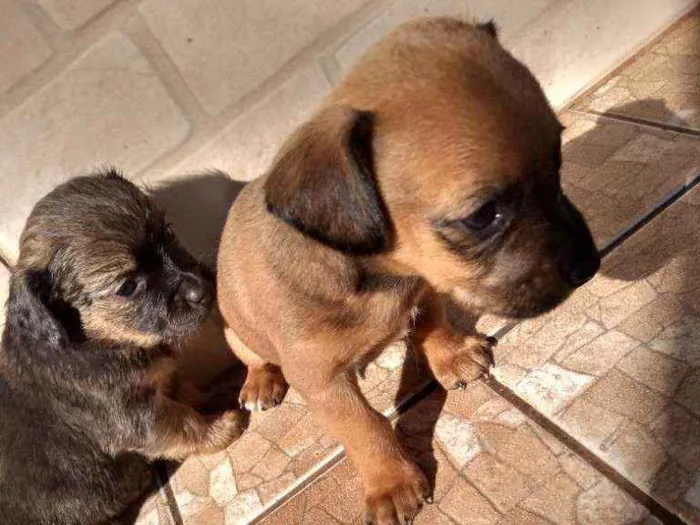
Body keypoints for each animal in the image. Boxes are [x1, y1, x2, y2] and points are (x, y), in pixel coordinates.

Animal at [0, 171, 246, 524]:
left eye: (167, 233)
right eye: (128, 286)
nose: (202, 290)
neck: (95, 340)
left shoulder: (157, 382)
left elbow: (183, 391)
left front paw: (213, 392)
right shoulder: (139, 419)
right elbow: (185, 422)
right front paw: (221, 429)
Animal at [216, 17, 600, 524]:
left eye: (558, 162)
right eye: (483, 216)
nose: (590, 264)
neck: (383, 277)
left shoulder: (428, 283)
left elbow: (432, 320)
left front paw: (450, 354)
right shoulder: (320, 380)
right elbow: (363, 427)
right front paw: (391, 482)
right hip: (234, 333)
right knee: (255, 359)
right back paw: (260, 382)